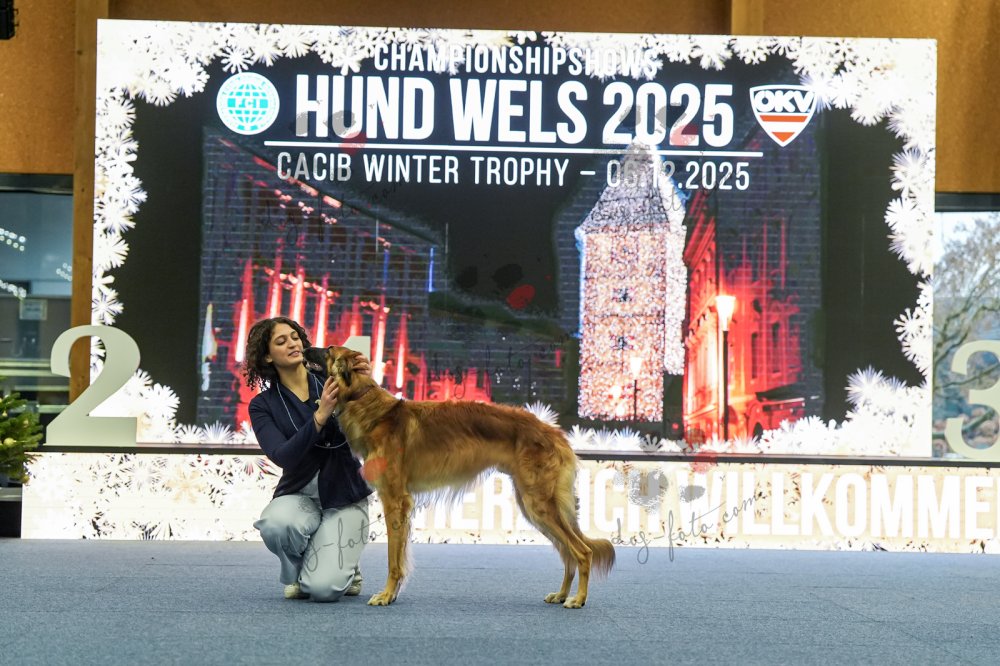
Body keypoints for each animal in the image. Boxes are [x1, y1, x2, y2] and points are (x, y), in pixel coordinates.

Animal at [304, 345, 615, 608]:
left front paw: (386, 595)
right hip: (533, 506)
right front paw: (392, 594)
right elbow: (399, 556)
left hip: (538, 504)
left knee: (582, 551)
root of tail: (556, 434)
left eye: (328, 350)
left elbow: (394, 559)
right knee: (568, 553)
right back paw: (561, 594)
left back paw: (578, 599)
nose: (305, 347)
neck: (369, 405)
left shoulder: (395, 501)